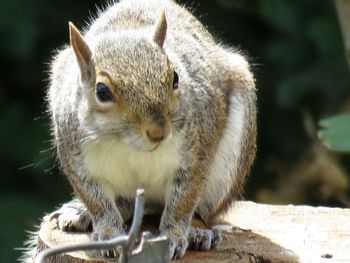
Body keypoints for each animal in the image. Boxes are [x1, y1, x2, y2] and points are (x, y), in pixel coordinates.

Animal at [36, 0, 258, 260]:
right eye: (102, 91)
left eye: (175, 78)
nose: (159, 132)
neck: (128, 145)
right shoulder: (77, 160)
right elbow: (98, 202)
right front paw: (109, 232)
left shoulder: (197, 154)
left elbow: (184, 200)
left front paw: (173, 235)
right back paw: (81, 212)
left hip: (226, 170)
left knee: (200, 210)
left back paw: (198, 231)